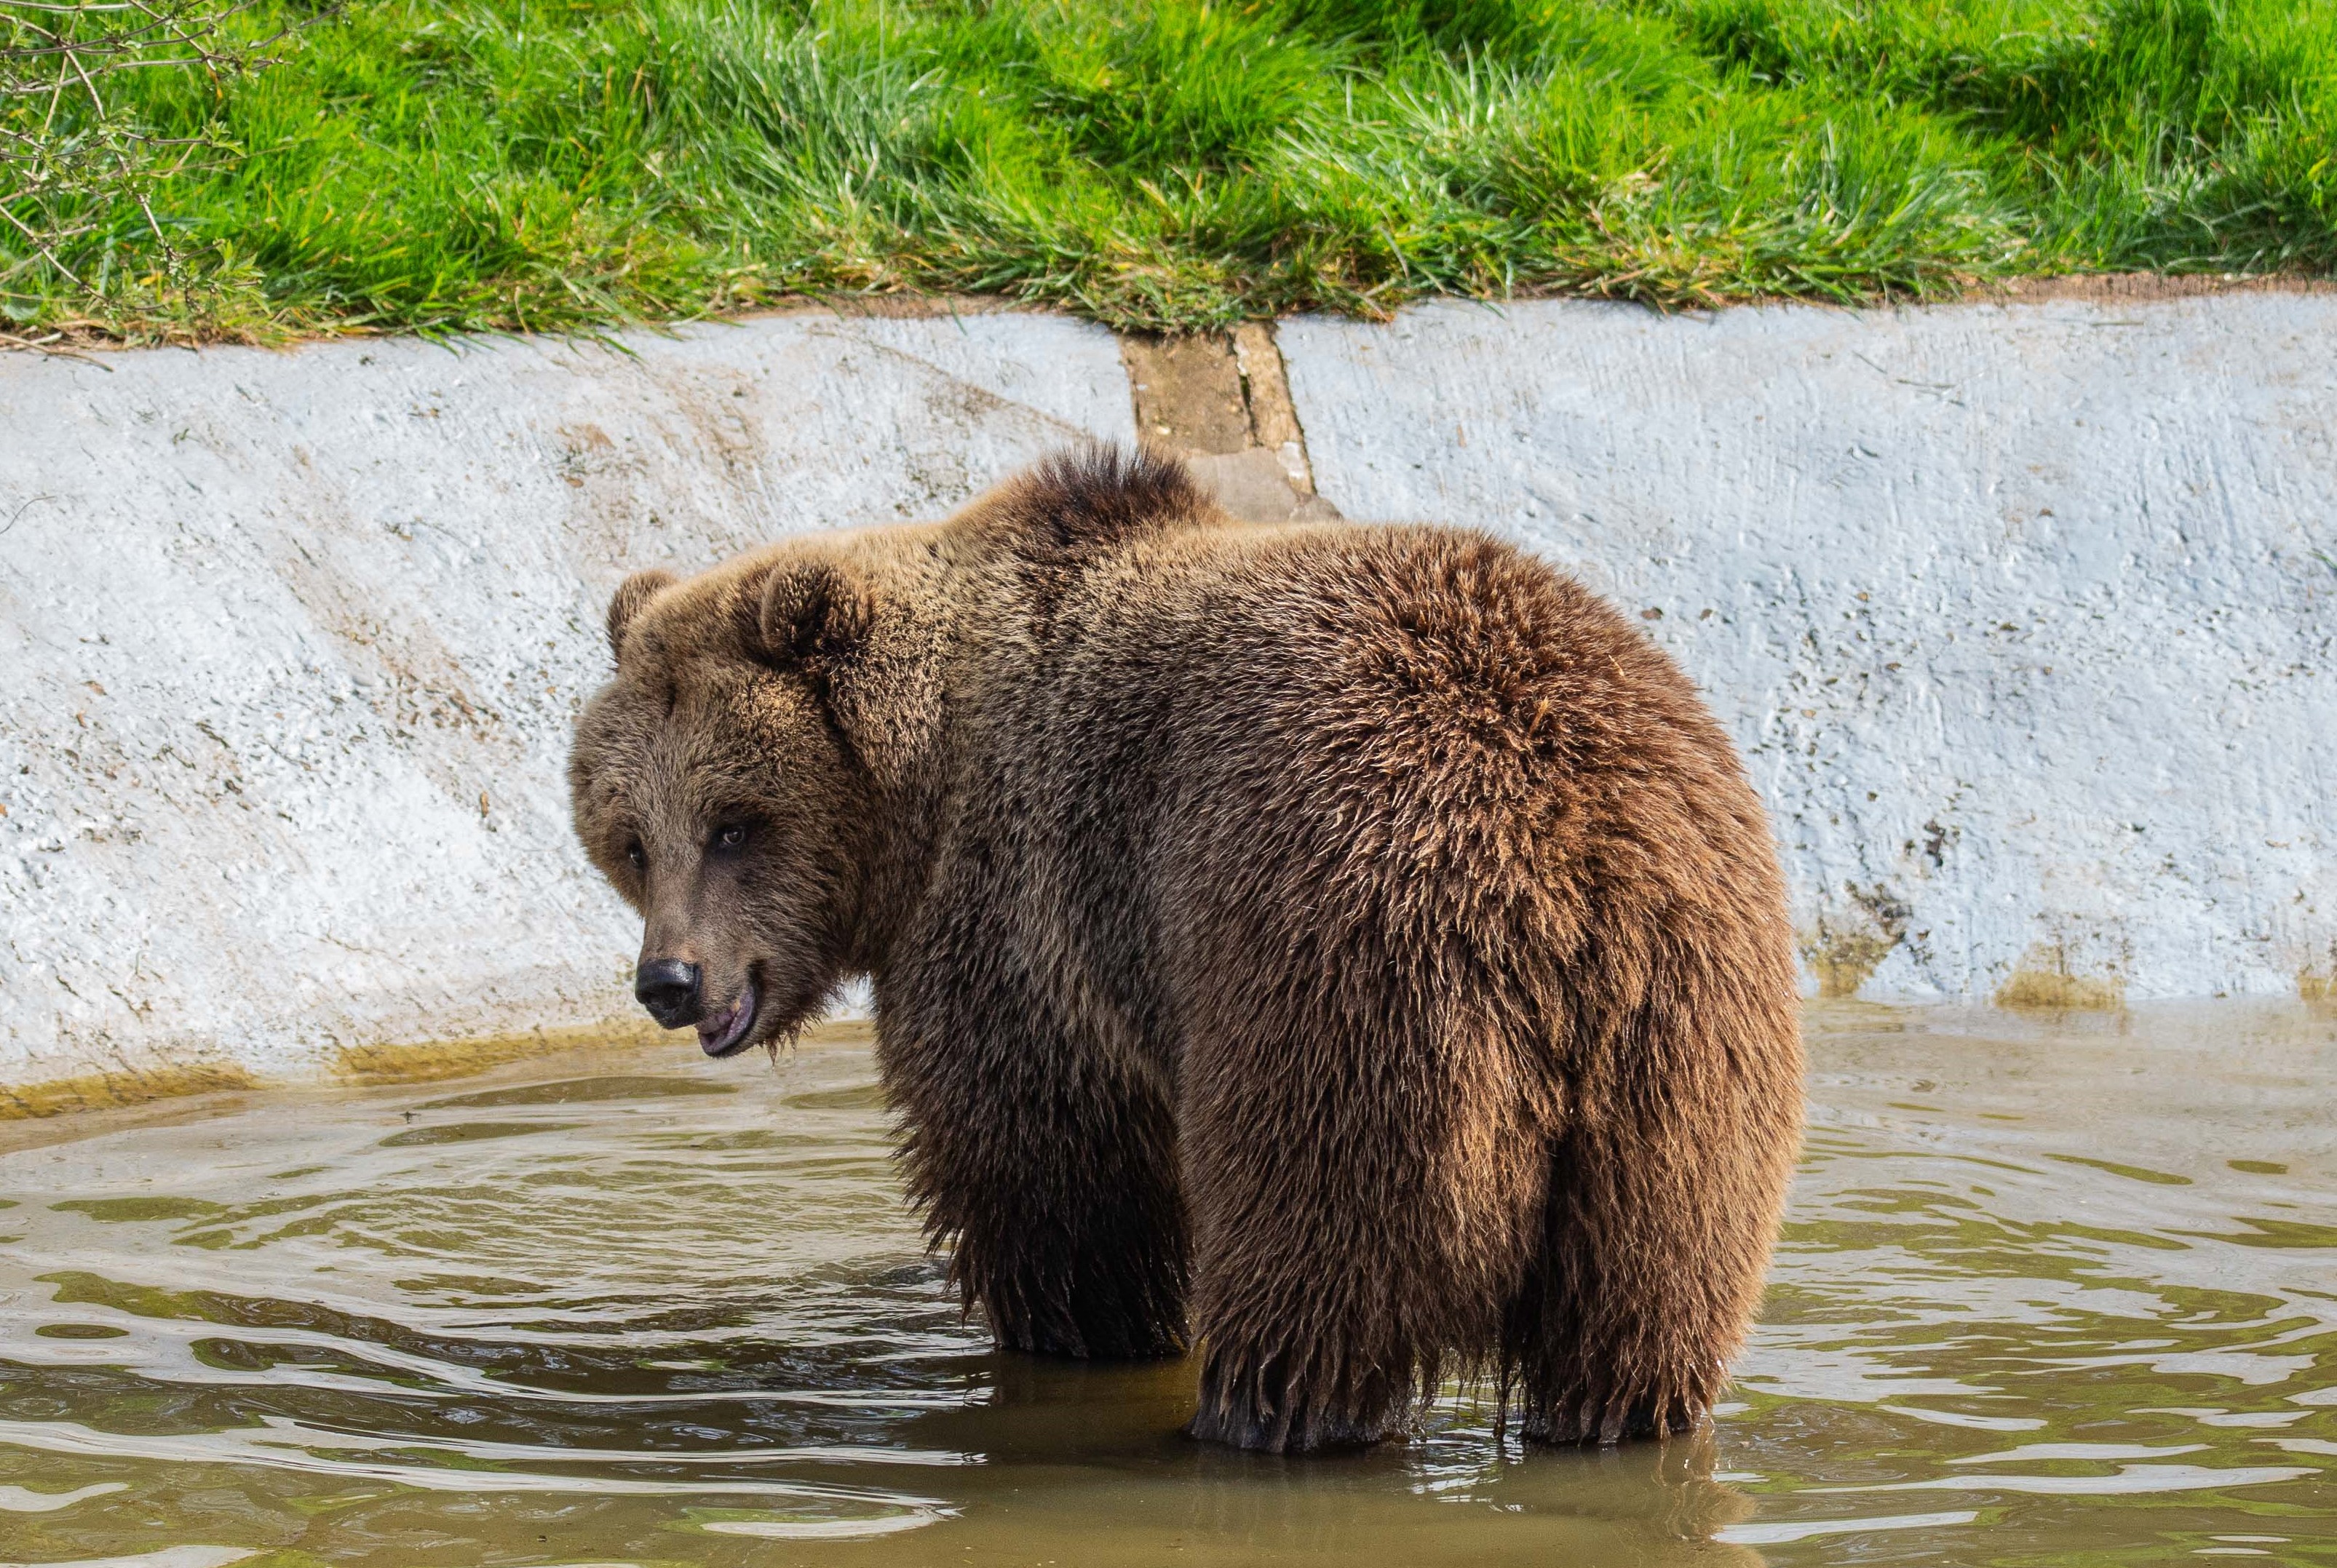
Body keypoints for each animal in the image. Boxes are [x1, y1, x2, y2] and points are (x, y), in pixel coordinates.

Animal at [570, 448, 1804, 1458]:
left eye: (736, 822)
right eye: (630, 836)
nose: (669, 979)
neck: (915, 794)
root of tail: (1565, 859)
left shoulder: (1021, 909)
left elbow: (1047, 1167)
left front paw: (1074, 1323)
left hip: (1347, 974)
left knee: (1314, 1244)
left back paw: (1258, 1412)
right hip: (1683, 1051)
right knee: (1641, 1303)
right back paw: (1614, 1414)